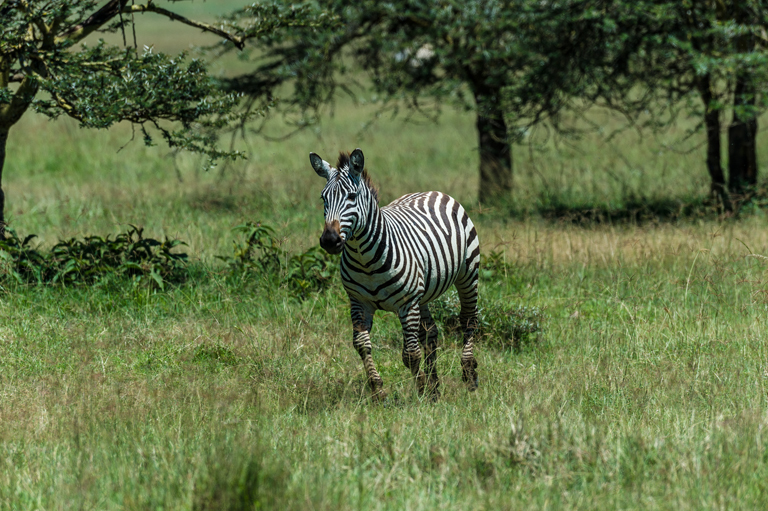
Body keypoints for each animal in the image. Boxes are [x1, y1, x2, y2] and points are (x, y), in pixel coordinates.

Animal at [308, 148, 476, 400]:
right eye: (323, 199)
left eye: (352, 197)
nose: (329, 240)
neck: (365, 260)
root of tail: (430, 191)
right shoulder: (358, 302)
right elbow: (362, 345)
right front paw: (379, 391)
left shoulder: (407, 304)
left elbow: (410, 354)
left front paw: (421, 392)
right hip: (422, 294)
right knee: (431, 332)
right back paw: (436, 387)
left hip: (468, 273)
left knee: (468, 320)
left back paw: (469, 376)